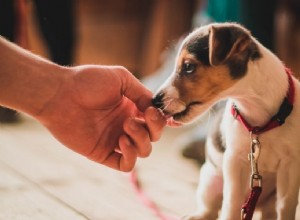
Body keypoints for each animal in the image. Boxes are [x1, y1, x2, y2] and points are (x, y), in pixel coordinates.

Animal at [152, 23, 300, 219]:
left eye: (189, 66)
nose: (154, 101)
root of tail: (257, 205)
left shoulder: (291, 166)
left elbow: (285, 205)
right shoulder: (235, 160)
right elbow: (232, 203)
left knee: (270, 212)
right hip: (210, 180)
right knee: (211, 210)